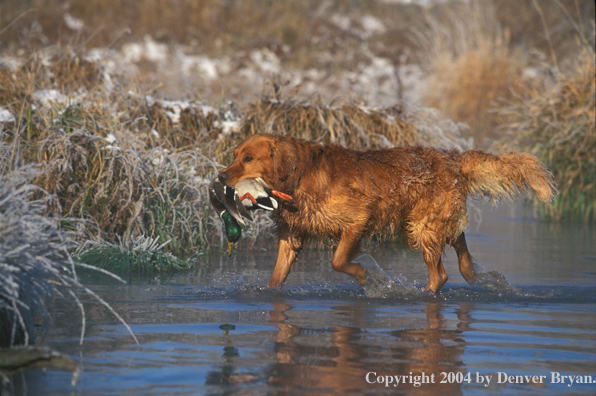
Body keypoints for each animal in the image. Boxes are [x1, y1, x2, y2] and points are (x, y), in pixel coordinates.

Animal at [220, 135, 560, 292]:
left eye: (248, 158)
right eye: (235, 155)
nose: (221, 176)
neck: (300, 176)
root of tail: (453, 158)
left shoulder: (357, 219)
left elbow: (338, 260)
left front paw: (364, 276)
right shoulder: (292, 235)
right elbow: (277, 276)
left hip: (422, 226)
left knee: (440, 274)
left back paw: (425, 293)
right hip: (434, 220)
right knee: (459, 245)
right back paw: (469, 271)